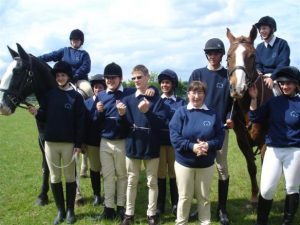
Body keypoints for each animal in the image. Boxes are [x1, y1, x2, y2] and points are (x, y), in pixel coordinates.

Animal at [226, 25, 274, 203]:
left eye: (252, 55)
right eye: (229, 55)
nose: (237, 88)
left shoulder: (265, 142)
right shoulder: (243, 141)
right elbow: (251, 167)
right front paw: (254, 196)